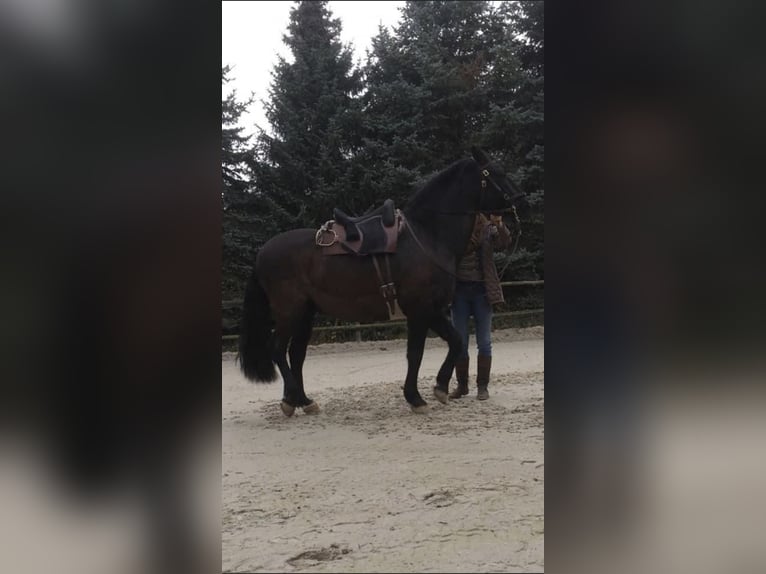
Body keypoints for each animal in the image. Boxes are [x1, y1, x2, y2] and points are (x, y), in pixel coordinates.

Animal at [238, 146, 528, 415]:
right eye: (497, 172)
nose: (521, 200)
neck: (427, 236)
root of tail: (263, 252)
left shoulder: (433, 310)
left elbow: (456, 342)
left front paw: (441, 387)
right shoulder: (420, 309)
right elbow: (416, 353)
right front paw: (415, 397)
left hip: (305, 314)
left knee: (296, 355)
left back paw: (300, 401)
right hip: (290, 311)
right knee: (278, 350)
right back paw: (294, 399)